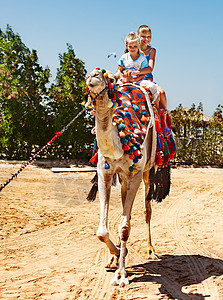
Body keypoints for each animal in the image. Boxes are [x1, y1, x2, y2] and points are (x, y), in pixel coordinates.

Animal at [86, 69, 158, 288]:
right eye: (87, 75)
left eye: (110, 79)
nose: (94, 76)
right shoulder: (105, 173)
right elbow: (102, 231)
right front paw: (116, 254)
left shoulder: (135, 175)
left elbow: (125, 227)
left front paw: (121, 275)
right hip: (123, 178)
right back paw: (114, 256)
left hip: (147, 171)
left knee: (147, 210)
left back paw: (151, 250)